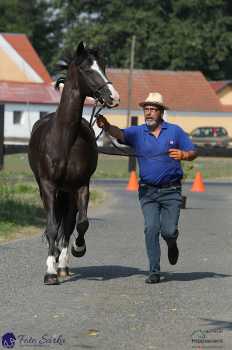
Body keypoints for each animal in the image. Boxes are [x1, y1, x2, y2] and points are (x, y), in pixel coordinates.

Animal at [28, 41, 119, 284]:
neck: (64, 139)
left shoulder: (81, 186)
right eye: (87, 69)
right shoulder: (48, 186)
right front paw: (50, 272)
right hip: (53, 190)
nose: (113, 97)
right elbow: (51, 226)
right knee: (57, 224)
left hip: (68, 193)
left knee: (68, 224)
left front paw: (78, 249)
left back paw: (63, 265)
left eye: (103, 67)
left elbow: (81, 223)